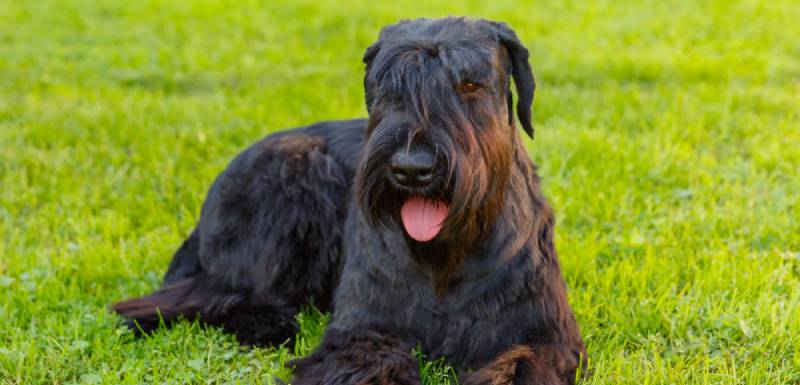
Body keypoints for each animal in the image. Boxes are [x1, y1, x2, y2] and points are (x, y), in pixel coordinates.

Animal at [112, 17, 584, 384]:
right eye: (388, 86)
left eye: (468, 84)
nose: (412, 169)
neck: (445, 260)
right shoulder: (363, 332)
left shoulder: (545, 339)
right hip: (291, 180)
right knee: (177, 301)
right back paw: (266, 323)